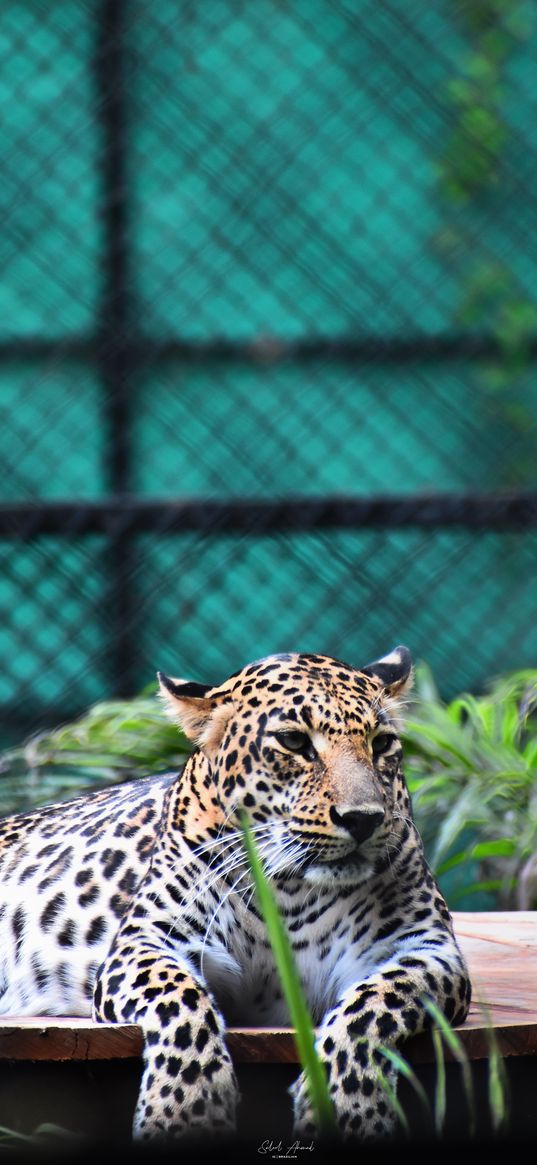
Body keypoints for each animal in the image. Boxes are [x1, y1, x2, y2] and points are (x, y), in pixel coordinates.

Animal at [0, 652, 468, 1141]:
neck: (292, 890)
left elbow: (374, 1004)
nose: (364, 819)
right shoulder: (146, 942)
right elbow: (181, 999)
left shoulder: (426, 946)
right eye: (294, 741)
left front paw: (348, 1107)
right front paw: (184, 1110)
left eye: (382, 743)